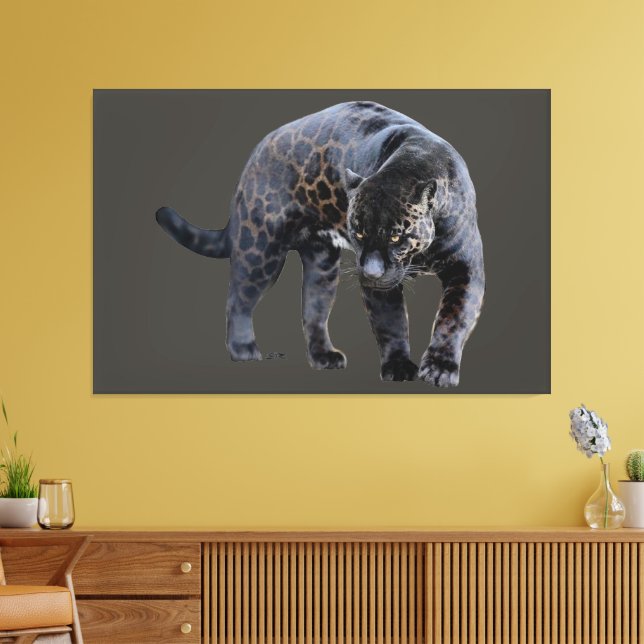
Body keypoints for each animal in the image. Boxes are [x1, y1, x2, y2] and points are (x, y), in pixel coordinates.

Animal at [156, 100, 485, 387]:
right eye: (358, 233)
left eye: (395, 236)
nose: (371, 272)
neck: (412, 162)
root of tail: (255, 155)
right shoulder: (381, 286)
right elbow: (390, 323)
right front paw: (399, 366)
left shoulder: (466, 267)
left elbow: (453, 319)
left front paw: (440, 368)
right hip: (261, 248)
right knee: (239, 297)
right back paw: (243, 348)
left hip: (322, 265)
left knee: (312, 311)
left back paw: (324, 357)